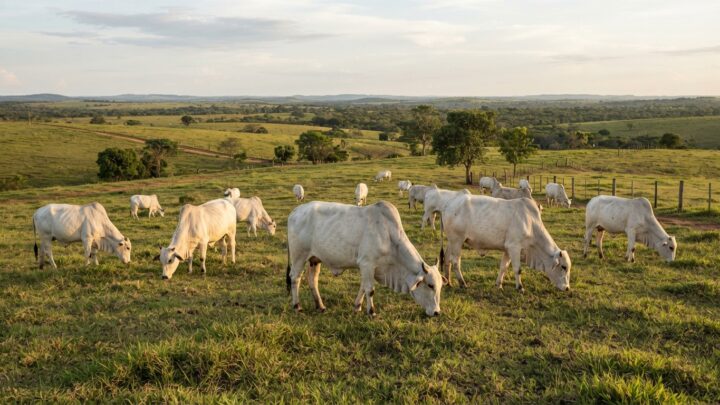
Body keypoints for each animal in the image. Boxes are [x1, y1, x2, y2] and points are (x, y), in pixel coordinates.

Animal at [286, 201, 446, 316]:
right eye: (430, 285)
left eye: (440, 286)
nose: (437, 312)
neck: (389, 236)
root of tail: (296, 211)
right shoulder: (367, 263)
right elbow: (370, 289)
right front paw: (371, 312)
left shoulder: (369, 268)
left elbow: (363, 287)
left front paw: (357, 307)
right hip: (299, 256)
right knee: (295, 278)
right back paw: (297, 306)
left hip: (314, 259)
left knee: (312, 280)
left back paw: (320, 306)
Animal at [441, 195, 571, 291]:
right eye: (563, 267)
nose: (567, 288)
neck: (531, 222)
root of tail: (448, 204)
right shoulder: (514, 247)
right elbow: (517, 269)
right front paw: (520, 287)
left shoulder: (508, 249)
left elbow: (503, 267)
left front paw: (498, 285)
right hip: (457, 240)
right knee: (455, 262)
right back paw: (462, 283)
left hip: (452, 241)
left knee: (447, 258)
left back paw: (448, 281)